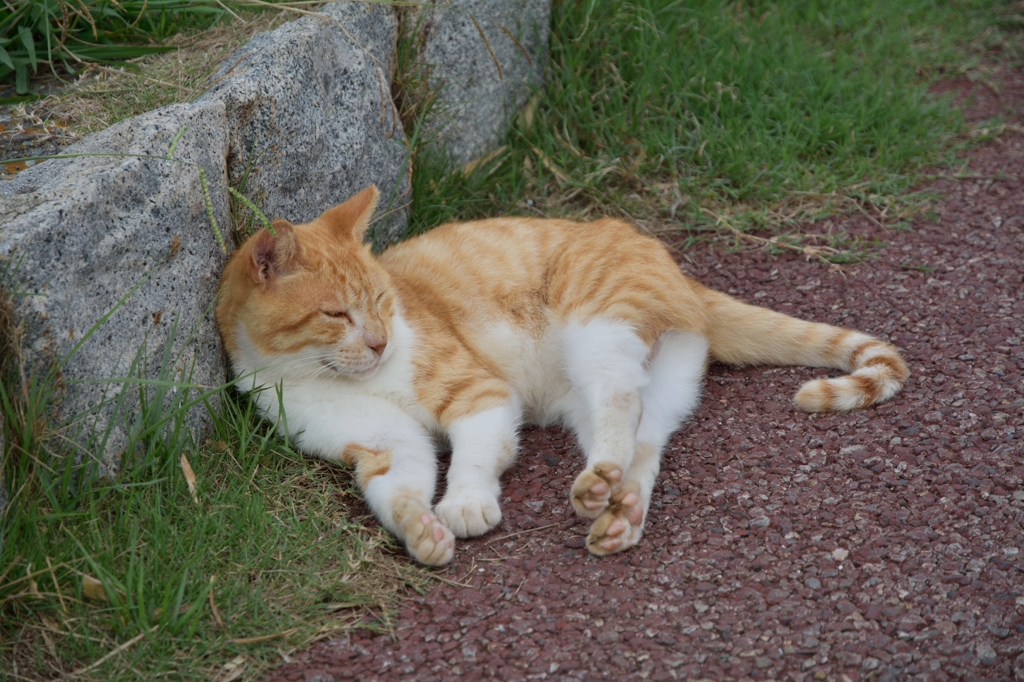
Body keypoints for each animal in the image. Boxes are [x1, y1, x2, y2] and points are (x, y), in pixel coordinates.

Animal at [214, 184, 905, 561]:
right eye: (337, 313)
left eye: (384, 302)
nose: (382, 343)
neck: (322, 376)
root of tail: (681, 274)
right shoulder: (384, 444)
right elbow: (399, 489)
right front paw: (421, 531)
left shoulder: (481, 395)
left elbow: (472, 457)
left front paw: (465, 504)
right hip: (642, 384)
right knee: (644, 443)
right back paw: (619, 508)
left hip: (596, 327)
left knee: (622, 402)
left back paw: (599, 486)